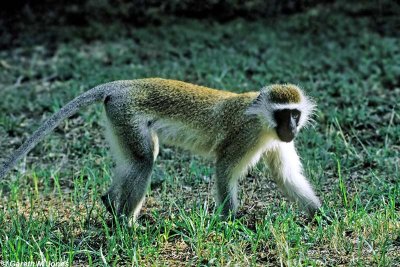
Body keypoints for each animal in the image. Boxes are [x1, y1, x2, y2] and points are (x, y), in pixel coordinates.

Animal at [0, 79, 320, 222]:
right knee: (143, 161)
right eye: (283, 114)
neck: (263, 121)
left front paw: (320, 215)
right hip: (127, 115)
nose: (292, 127)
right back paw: (126, 224)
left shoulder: (276, 141)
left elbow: (286, 177)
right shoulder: (244, 135)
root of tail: (123, 86)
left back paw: (110, 205)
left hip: (118, 117)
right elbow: (225, 167)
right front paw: (229, 222)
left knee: (135, 160)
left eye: (295, 114)